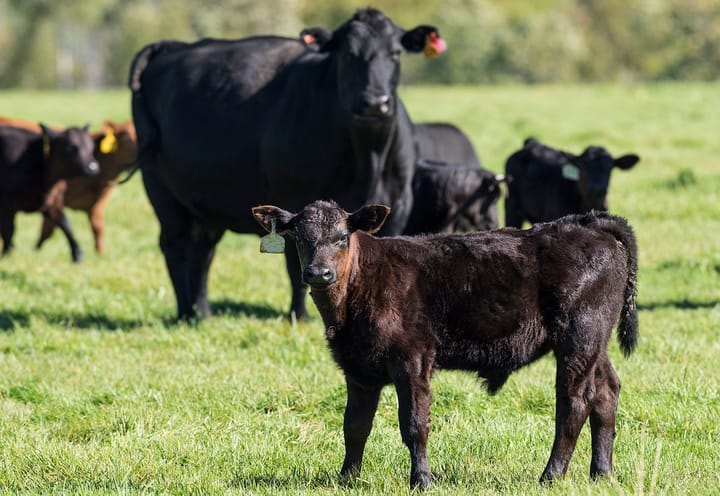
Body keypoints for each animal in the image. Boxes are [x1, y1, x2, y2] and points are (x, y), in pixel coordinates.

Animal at [0, 124, 100, 260]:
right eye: (70, 147)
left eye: (91, 146)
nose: (93, 167)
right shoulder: (6, 205)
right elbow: (8, 230)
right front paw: (7, 253)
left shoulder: (52, 201)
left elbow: (65, 223)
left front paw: (77, 255)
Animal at [36, 120, 137, 256]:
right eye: (127, 138)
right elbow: (47, 229)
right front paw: (36, 251)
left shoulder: (97, 203)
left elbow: (97, 227)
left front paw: (101, 253)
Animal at [129, 8, 447, 320]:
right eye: (347, 54)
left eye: (395, 53)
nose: (375, 102)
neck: (369, 158)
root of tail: (173, 46)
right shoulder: (294, 201)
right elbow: (296, 267)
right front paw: (300, 316)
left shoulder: (397, 205)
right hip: (160, 189)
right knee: (176, 246)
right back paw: (186, 312)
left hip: (205, 204)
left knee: (202, 251)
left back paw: (202, 313)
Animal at [253, 199, 639, 490]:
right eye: (299, 237)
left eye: (343, 236)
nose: (319, 273)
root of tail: (589, 222)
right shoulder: (357, 367)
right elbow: (355, 425)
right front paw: (347, 479)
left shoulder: (413, 358)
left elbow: (414, 424)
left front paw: (421, 480)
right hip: (595, 343)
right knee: (606, 391)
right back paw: (601, 473)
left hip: (579, 335)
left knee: (574, 402)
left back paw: (551, 476)